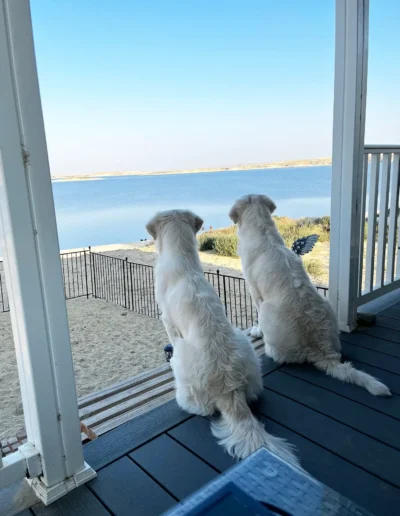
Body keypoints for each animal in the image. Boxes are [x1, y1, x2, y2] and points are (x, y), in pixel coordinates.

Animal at [230, 196, 392, 398]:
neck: (263, 233)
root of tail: (320, 350)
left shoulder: (255, 290)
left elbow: (257, 312)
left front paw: (256, 331)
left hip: (269, 312)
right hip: (327, 306)